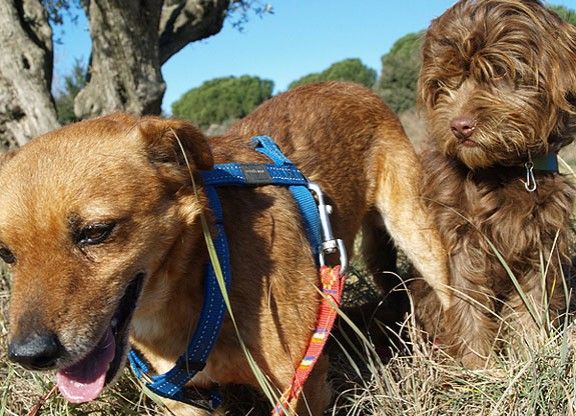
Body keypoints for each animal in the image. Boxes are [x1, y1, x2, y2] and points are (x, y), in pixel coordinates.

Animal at [0, 81, 450, 412]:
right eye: (6, 253)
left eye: (95, 232)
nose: (28, 355)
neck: (210, 273)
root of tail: (346, 83)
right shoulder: (183, 404)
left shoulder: (299, 388)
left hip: (419, 236)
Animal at [412, 0, 576, 368]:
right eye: (445, 82)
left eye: (498, 71)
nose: (460, 127)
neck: (504, 170)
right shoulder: (459, 237)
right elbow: (467, 303)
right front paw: (478, 368)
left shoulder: (543, 237)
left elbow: (532, 301)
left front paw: (529, 353)